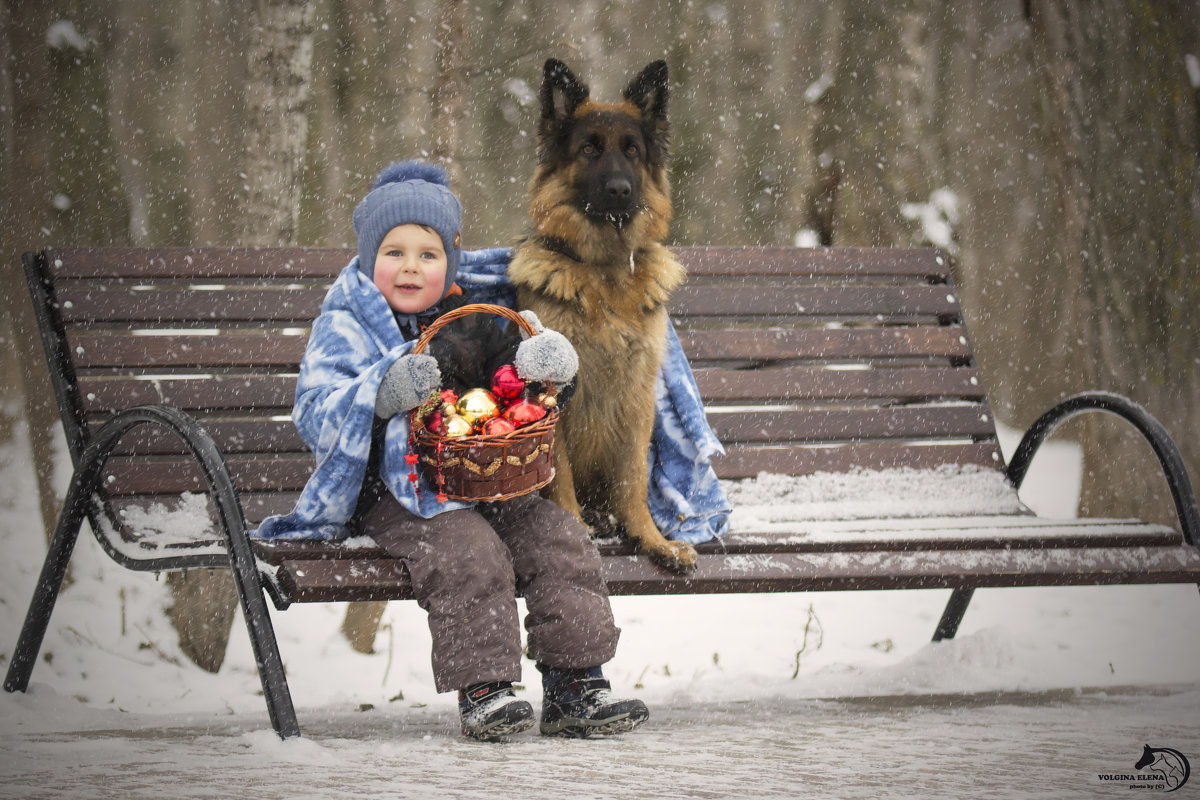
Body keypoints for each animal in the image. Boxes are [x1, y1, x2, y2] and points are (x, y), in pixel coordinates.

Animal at [508, 59, 700, 573]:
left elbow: (633, 479)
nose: (619, 189)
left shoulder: (638, 398)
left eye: (632, 151)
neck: (604, 270)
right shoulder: (553, 397)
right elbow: (559, 476)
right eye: (589, 149)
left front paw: (654, 540)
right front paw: (576, 532)